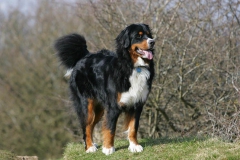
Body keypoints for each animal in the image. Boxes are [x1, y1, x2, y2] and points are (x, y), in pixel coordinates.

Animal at [54, 23, 155, 155]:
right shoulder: (113, 106)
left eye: (149, 34)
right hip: (87, 105)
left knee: (91, 125)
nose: (153, 42)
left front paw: (134, 146)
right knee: (86, 126)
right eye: (139, 36)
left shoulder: (137, 104)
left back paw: (92, 144)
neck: (135, 67)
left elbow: (133, 127)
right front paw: (108, 148)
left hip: (99, 109)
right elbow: (110, 128)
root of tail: (85, 56)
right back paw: (89, 147)